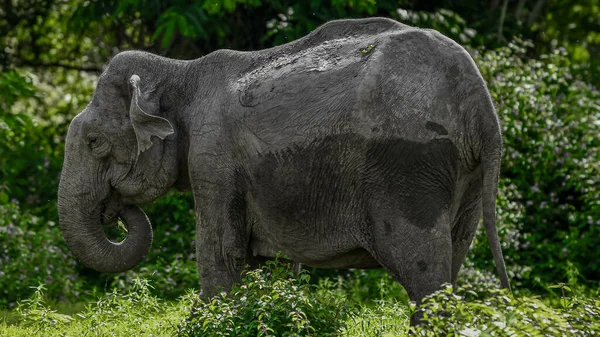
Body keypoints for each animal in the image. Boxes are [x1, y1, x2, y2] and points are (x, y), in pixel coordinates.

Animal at [58, 17, 510, 312]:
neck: (180, 70)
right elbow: (263, 267)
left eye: (95, 142)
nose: (116, 211)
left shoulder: (213, 157)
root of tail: (480, 104)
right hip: (465, 176)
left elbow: (220, 252)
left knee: (424, 275)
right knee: (453, 257)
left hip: (409, 166)